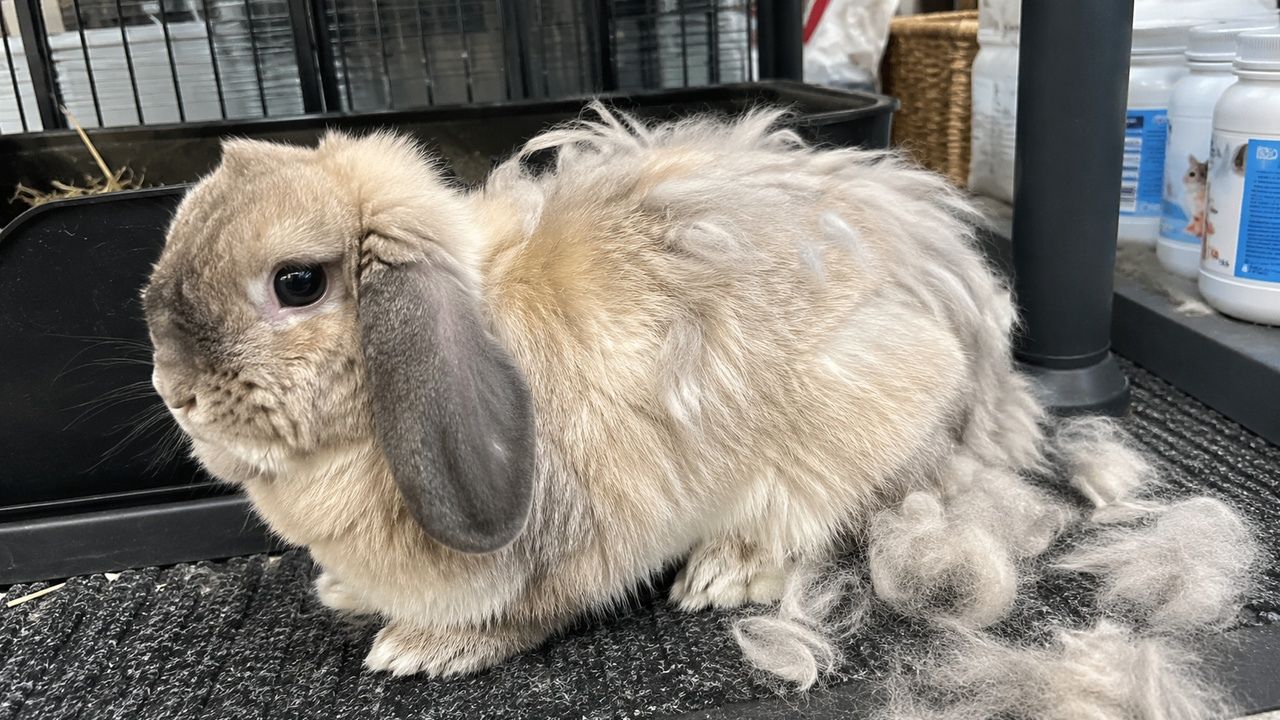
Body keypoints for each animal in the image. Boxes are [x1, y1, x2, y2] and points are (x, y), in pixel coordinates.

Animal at [143, 105, 1045, 678]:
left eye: (296, 284)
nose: (172, 391)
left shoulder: (588, 534)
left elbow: (528, 610)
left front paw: (419, 651)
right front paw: (341, 593)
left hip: (858, 421)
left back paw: (722, 574)